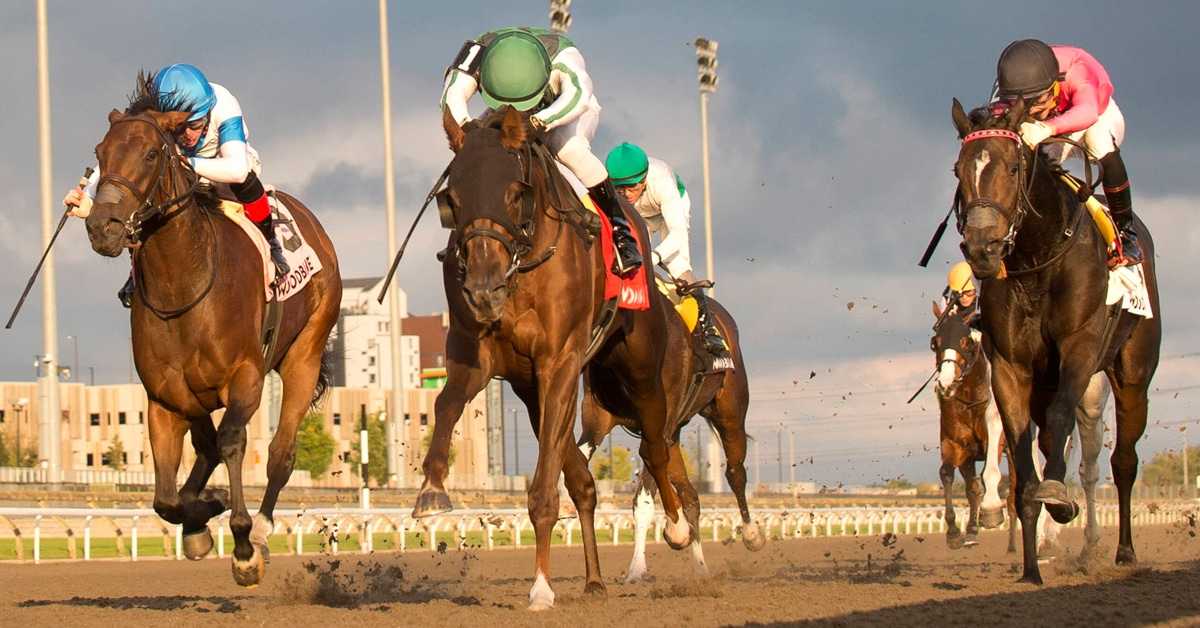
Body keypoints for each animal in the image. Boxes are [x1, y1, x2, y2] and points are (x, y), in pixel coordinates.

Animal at [82, 94, 341, 588]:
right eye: (99, 154)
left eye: (151, 153)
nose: (102, 226)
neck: (183, 283)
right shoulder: (165, 399)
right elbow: (165, 498)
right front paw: (204, 515)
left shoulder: (246, 379)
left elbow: (234, 442)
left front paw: (241, 544)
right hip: (194, 394)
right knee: (203, 451)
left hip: (305, 352)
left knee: (279, 453)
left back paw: (259, 530)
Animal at [413, 106, 690, 610]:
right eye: (452, 200)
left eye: (513, 193)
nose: (483, 290)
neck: (520, 267)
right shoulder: (477, 356)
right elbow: (444, 404)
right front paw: (431, 490)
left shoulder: (559, 362)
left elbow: (544, 490)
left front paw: (541, 586)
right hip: (533, 393)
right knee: (583, 482)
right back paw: (595, 580)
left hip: (638, 367)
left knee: (656, 447)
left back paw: (678, 528)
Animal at [578, 288, 765, 583]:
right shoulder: (596, 419)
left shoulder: (658, 427)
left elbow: (643, 500)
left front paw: (637, 569)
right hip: (676, 435)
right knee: (690, 496)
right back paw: (700, 566)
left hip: (731, 413)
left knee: (735, 473)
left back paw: (751, 534)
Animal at [929, 302, 1016, 552]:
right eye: (936, 342)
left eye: (965, 342)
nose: (946, 384)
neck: (971, 400)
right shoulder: (957, 446)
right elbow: (950, 475)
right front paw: (956, 532)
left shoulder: (992, 442)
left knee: (1014, 495)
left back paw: (1012, 545)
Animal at [951, 97, 1161, 584]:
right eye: (959, 170)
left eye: (1012, 167)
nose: (982, 248)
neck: (1038, 257)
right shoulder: (1009, 368)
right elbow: (1022, 470)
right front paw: (1030, 568)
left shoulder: (1080, 351)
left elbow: (1060, 430)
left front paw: (1059, 499)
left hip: (1131, 376)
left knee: (1120, 462)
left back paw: (1121, 551)